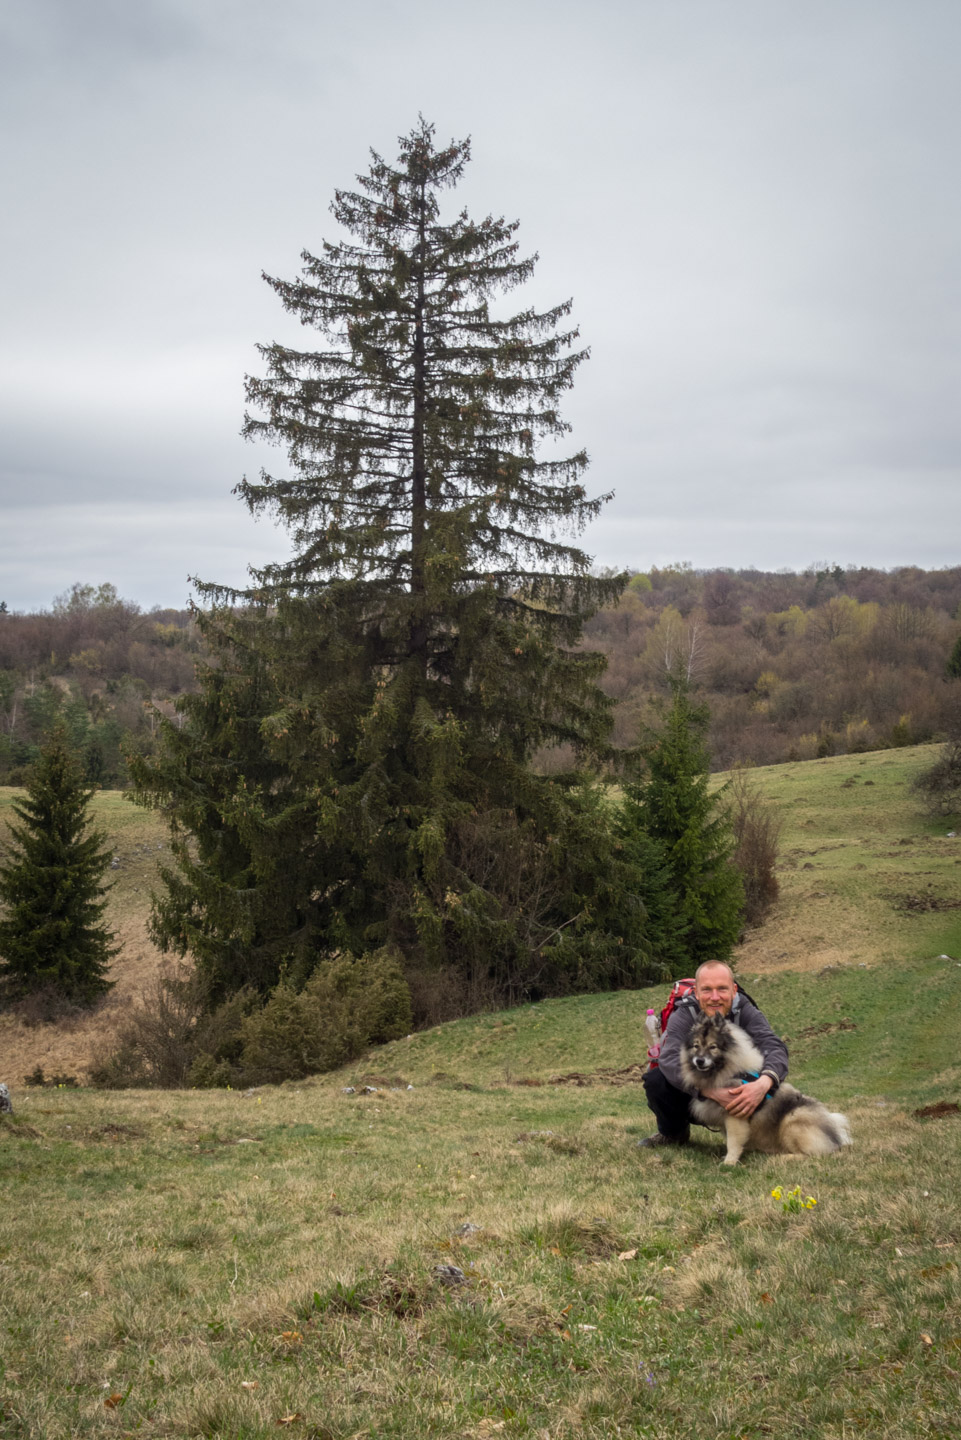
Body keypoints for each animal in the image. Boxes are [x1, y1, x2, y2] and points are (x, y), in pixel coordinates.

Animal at [680, 1008, 852, 1163]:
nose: (699, 1061)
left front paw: (729, 1162)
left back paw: (784, 1157)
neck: (730, 1070)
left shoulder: (735, 1116)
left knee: (813, 1154)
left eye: (713, 1047)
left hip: (792, 1121)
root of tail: (834, 1134)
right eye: (696, 1046)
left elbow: (733, 1142)